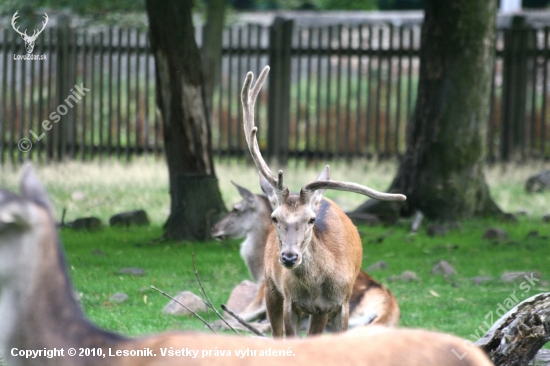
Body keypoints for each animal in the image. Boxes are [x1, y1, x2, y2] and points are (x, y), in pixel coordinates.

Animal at [244, 65, 408, 338]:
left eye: (311, 219)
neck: (316, 288)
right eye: (275, 217)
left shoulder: (339, 305)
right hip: (271, 286)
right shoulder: (290, 301)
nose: (289, 258)